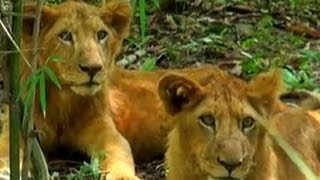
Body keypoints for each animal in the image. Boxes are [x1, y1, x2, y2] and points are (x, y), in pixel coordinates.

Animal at [0, 0, 138, 179]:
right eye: (65, 36)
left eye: (101, 35)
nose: (93, 68)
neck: (64, 100)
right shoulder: (20, 126)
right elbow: (6, 148)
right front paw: (4, 170)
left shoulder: (104, 130)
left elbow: (118, 151)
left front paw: (123, 176)